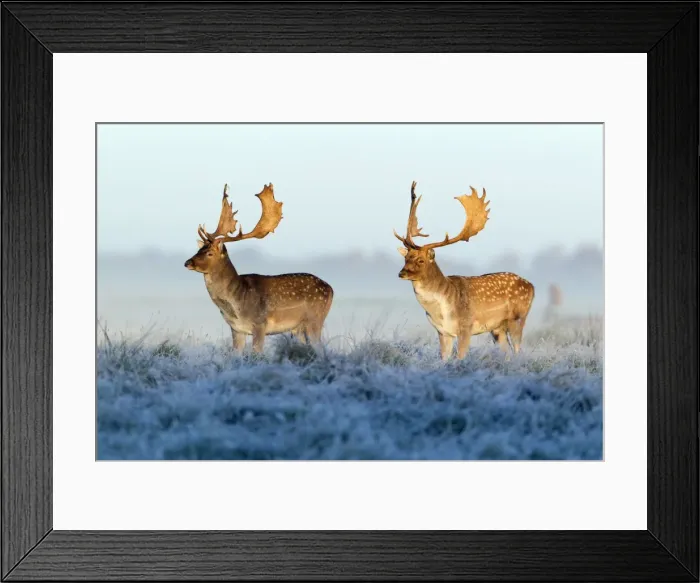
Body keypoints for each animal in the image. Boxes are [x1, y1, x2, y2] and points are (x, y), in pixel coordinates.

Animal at [184, 183, 334, 353]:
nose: (187, 262)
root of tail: (331, 289)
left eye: (209, 253)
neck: (237, 305)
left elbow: (257, 354)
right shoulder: (236, 329)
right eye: (199, 249)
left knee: (321, 349)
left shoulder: (260, 324)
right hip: (298, 328)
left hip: (315, 319)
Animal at [394, 181, 535, 361]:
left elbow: (460, 357)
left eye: (421, 260)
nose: (402, 273)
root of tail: (532, 286)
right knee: (507, 352)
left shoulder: (466, 327)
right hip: (498, 328)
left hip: (518, 318)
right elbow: (444, 359)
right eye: (406, 258)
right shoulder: (442, 332)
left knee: (517, 350)